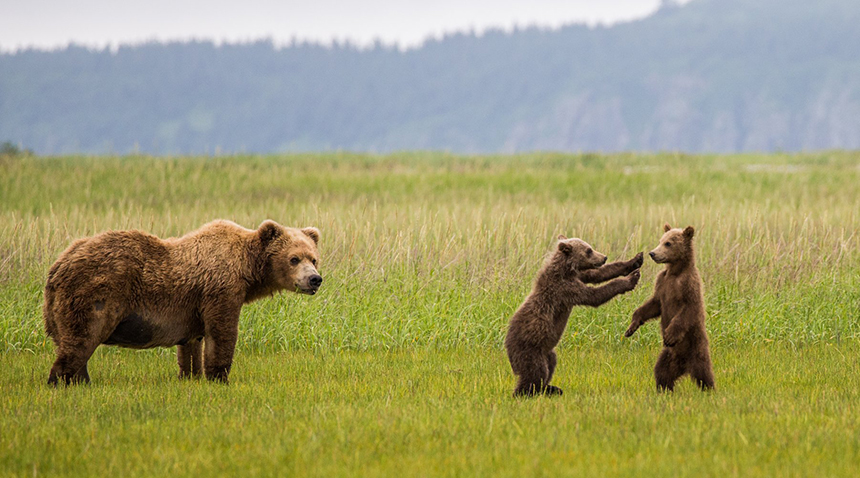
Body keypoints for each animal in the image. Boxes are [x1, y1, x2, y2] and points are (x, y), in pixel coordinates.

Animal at [42, 219, 322, 386]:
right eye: (294, 258)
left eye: (313, 258)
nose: (315, 279)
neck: (247, 268)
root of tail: (58, 265)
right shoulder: (221, 288)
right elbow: (222, 332)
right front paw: (219, 377)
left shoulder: (192, 307)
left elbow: (191, 344)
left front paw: (190, 375)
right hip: (94, 293)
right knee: (81, 340)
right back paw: (62, 381)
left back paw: (82, 381)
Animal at [504, 235, 643, 397]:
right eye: (589, 250)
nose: (604, 257)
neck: (565, 270)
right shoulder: (565, 289)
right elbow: (594, 295)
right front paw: (630, 279)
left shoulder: (578, 276)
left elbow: (599, 274)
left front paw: (635, 261)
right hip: (530, 348)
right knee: (535, 373)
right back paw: (526, 392)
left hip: (547, 351)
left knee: (551, 363)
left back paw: (551, 388)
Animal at [624, 224, 715, 392]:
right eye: (661, 240)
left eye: (668, 243)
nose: (653, 253)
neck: (675, 272)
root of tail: (685, 367)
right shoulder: (662, 283)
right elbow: (653, 305)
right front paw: (631, 327)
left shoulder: (689, 285)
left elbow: (688, 309)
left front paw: (670, 335)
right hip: (667, 356)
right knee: (662, 372)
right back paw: (664, 390)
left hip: (697, 349)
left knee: (704, 374)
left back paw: (709, 390)